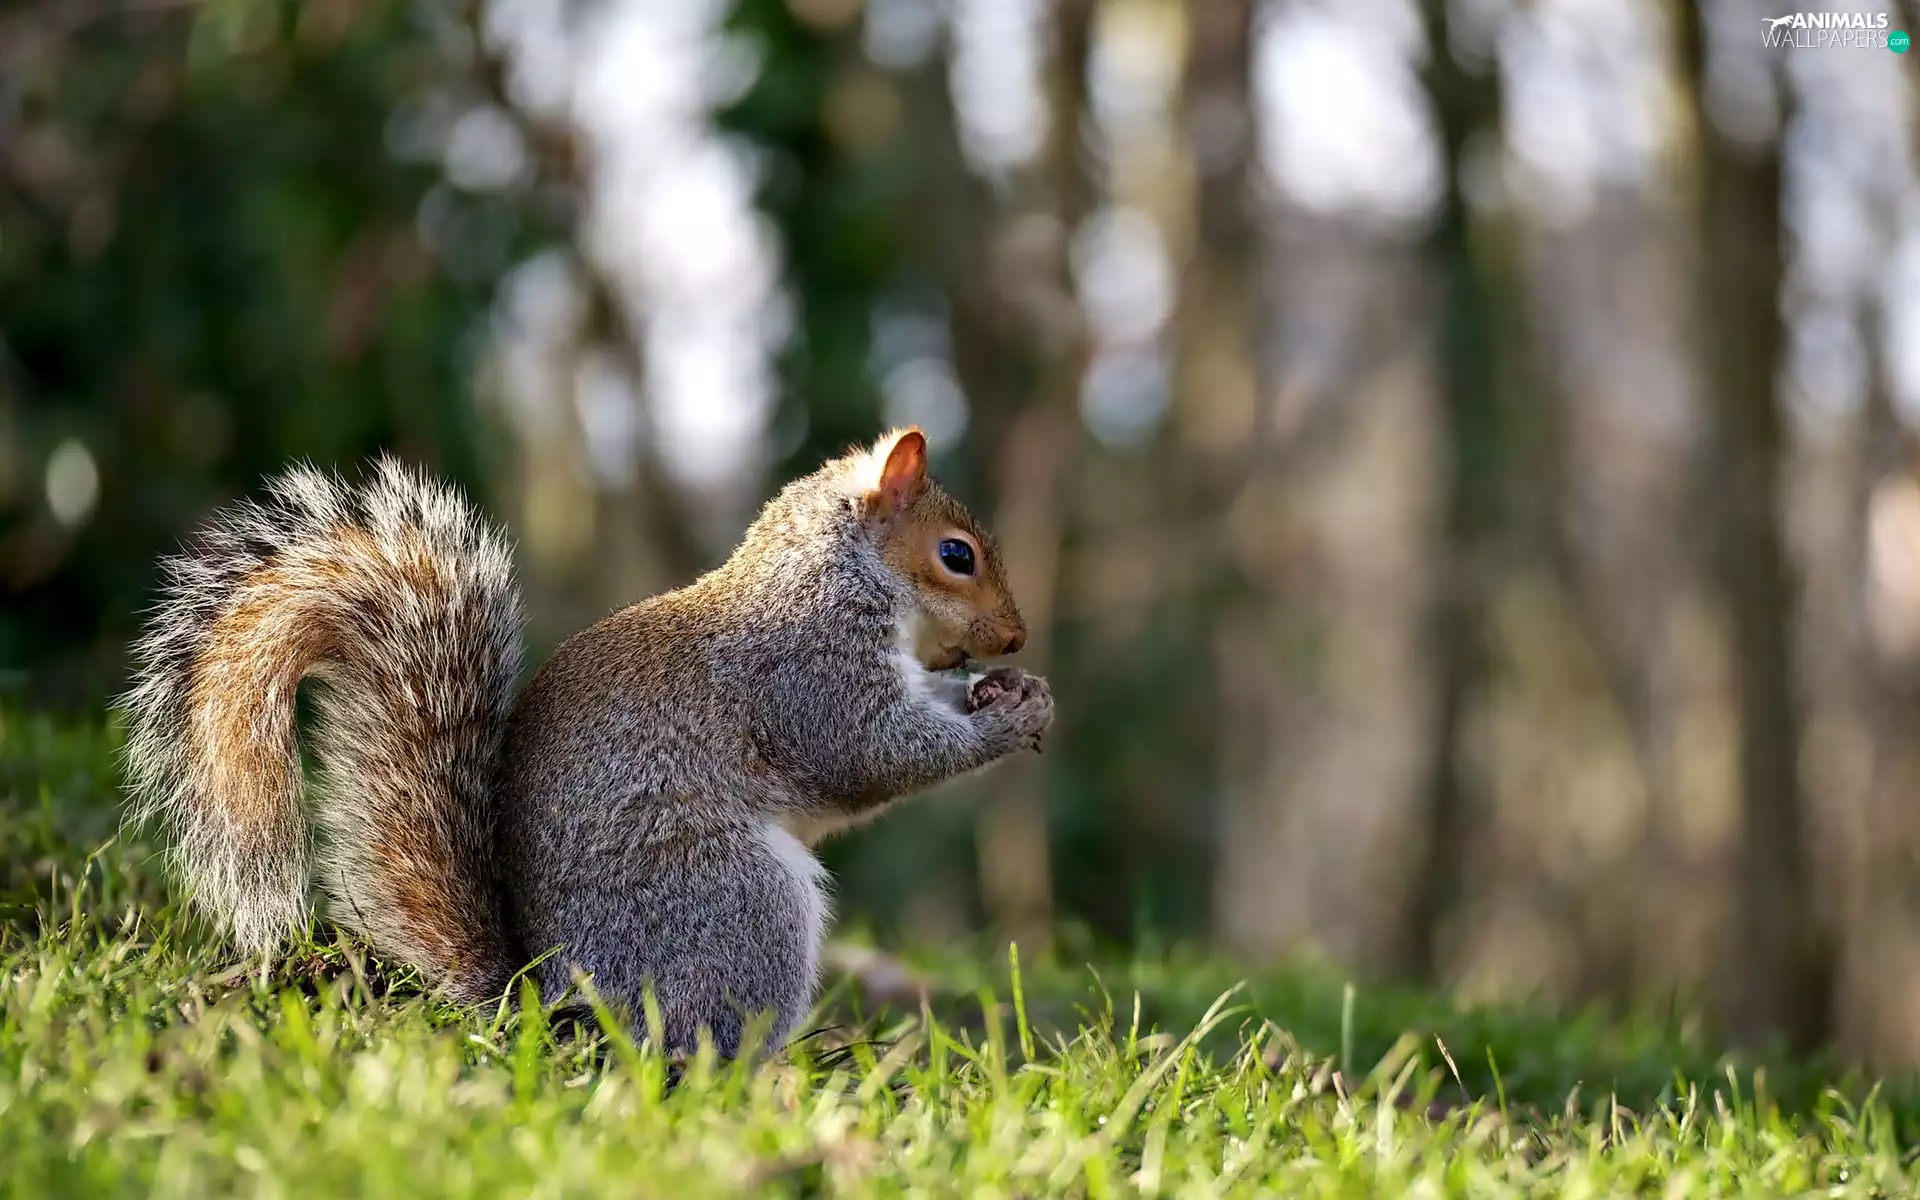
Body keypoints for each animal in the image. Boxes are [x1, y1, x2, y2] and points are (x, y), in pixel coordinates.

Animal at [119, 428, 1054, 1056]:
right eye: (956, 555)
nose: (1015, 638)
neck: (839, 574)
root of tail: (545, 1007)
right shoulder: (807, 672)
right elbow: (872, 755)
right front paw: (1005, 720)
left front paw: (1018, 694)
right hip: (735, 904)